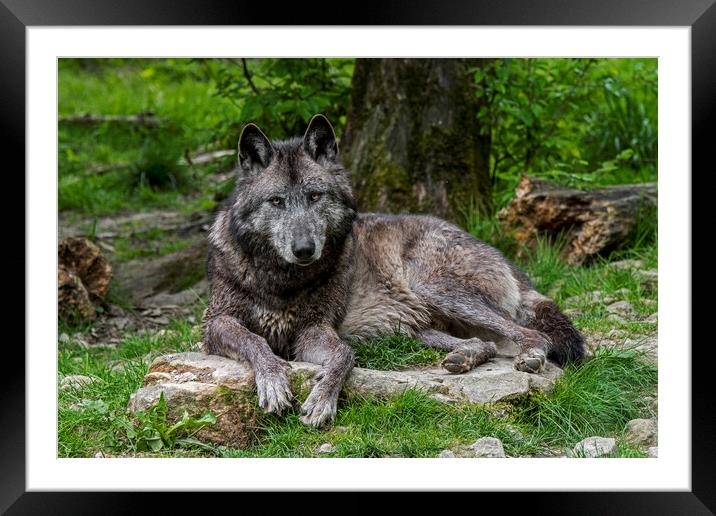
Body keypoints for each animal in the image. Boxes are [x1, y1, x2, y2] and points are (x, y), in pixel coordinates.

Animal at [200, 116, 580, 428]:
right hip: (410, 329)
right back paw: (465, 357)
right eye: (276, 201)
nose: (304, 249)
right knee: (483, 342)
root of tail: (505, 259)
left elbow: (344, 355)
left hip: (432, 288)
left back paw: (530, 355)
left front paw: (322, 400)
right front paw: (274, 381)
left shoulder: (312, 330)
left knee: (531, 334)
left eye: (315, 196)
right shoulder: (216, 323)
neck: (281, 280)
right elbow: (256, 340)